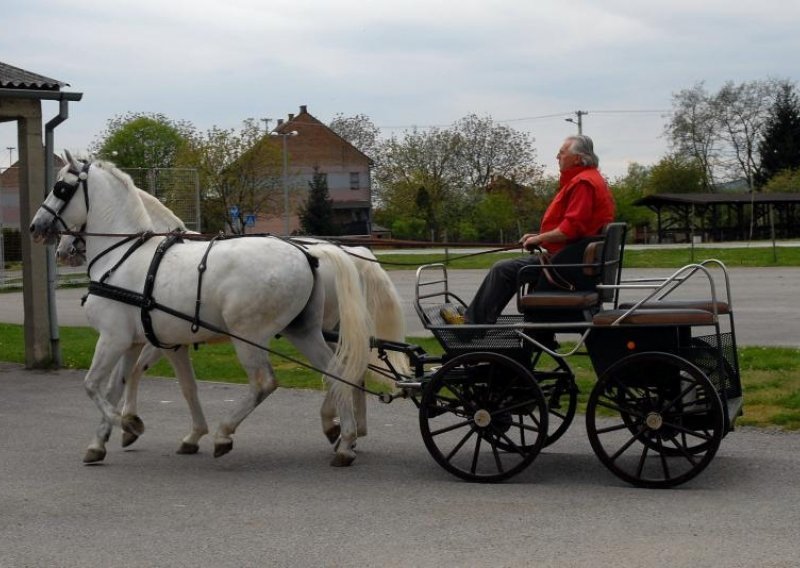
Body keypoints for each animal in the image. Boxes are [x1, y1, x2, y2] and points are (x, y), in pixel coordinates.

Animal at [32, 151, 376, 466]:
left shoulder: (113, 338)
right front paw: (101, 441)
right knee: (338, 372)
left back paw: (226, 433)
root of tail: (309, 254)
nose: (37, 227)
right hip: (303, 330)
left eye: (60, 187)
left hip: (249, 336)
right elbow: (133, 386)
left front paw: (127, 424)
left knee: (264, 383)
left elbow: (92, 385)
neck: (123, 256)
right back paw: (346, 440)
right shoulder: (142, 342)